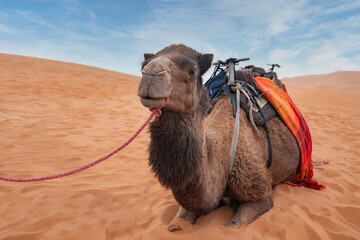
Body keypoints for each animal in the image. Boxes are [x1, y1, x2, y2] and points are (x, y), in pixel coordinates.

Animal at [136, 44, 300, 232]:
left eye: (192, 70)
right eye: (143, 66)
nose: (151, 72)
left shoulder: (260, 194)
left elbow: (232, 226)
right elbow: (176, 225)